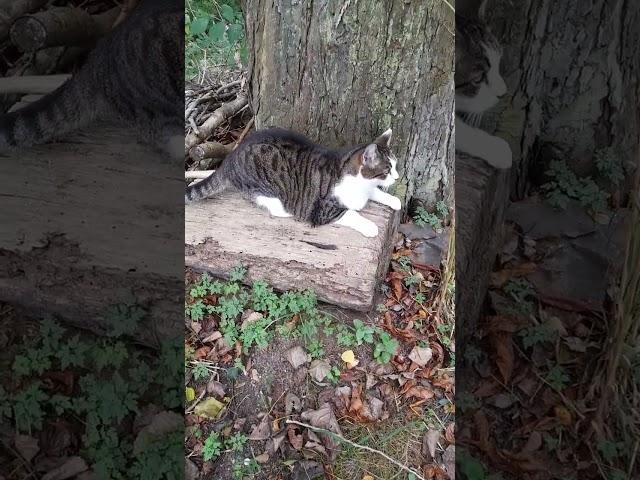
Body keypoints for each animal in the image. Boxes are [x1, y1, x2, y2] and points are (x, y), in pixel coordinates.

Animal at [185, 127, 402, 238]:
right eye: (387, 170)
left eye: (395, 165)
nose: (397, 177)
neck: (359, 184)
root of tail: (231, 157)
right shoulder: (323, 210)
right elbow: (350, 213)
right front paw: (370, 227)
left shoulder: (368, 188)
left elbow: (377, 192)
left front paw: (395, 200)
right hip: (262, 184)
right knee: (261, 199)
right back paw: (283, 210)